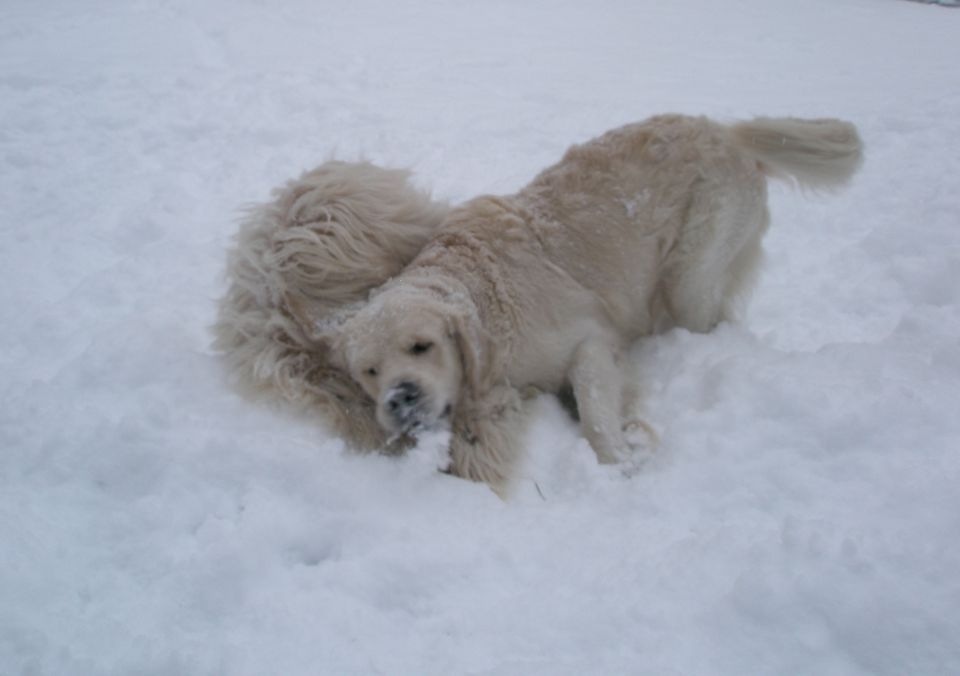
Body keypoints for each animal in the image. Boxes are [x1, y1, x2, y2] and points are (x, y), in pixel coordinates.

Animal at [320, 113, 864, 488]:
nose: (401, 397)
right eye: (370, 371)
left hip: (692, 270)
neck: (491, 302)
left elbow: (596, 408)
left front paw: (621, 462)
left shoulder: (588, 343)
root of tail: (726, 131)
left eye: (422, 346)